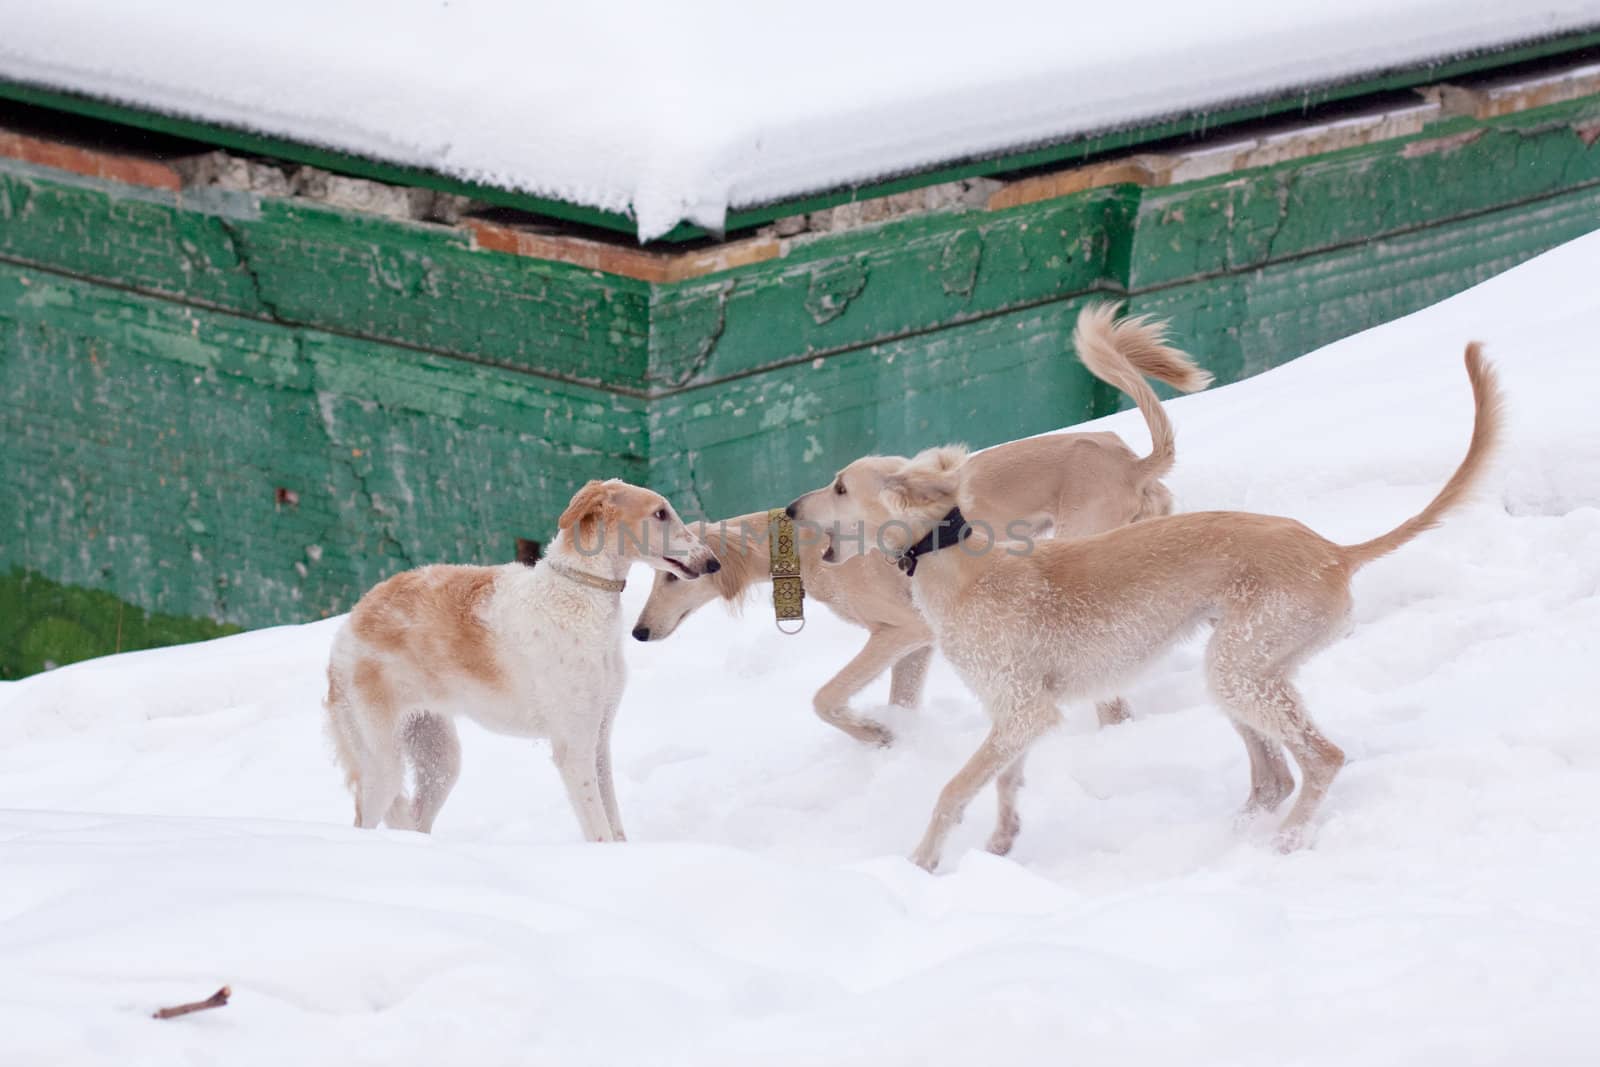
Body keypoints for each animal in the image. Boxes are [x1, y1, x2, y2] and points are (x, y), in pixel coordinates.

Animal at [324, 483, 720, 844]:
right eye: (660, 513)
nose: (712, 562)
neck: (577, 595)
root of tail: (350, 623)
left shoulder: (599, 736)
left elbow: (615, 826)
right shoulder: (573, 747)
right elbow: (600, 831)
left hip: (437, 755)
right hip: (381, 762)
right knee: (365, 820)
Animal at [630, 303, 1203, 748]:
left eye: (673, 574)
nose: (638, 632)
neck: (799, 551)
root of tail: (1133, 463)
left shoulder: (903, 629)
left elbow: (826, 697)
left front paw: (873, 734)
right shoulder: (920, 642)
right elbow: (901, 699)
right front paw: (898, 740)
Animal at [793, 331, 1504, 870]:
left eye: (839, 486)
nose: (793, 508)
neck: (958, 565)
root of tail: (1334, 550)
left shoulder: (1022, 709)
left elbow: (954, 788)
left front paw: (922, 862)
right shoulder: (1017, 715)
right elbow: (1006, 783)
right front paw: (1000, 845)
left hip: (1243, 666)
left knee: (1322, 760)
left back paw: (1284, 844)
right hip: (1245, 668)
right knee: (1273, 775)